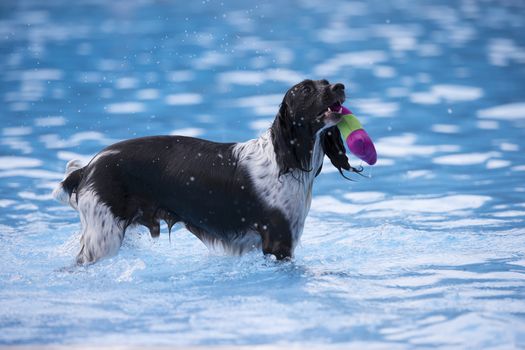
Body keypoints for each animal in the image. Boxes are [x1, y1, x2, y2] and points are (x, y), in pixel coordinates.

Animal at [53, 79, 360, 264]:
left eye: (326, 83)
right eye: (306, 90)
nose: (340, 85)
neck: (287, 161)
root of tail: (88, 167)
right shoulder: (278, 241)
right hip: (103, 240)